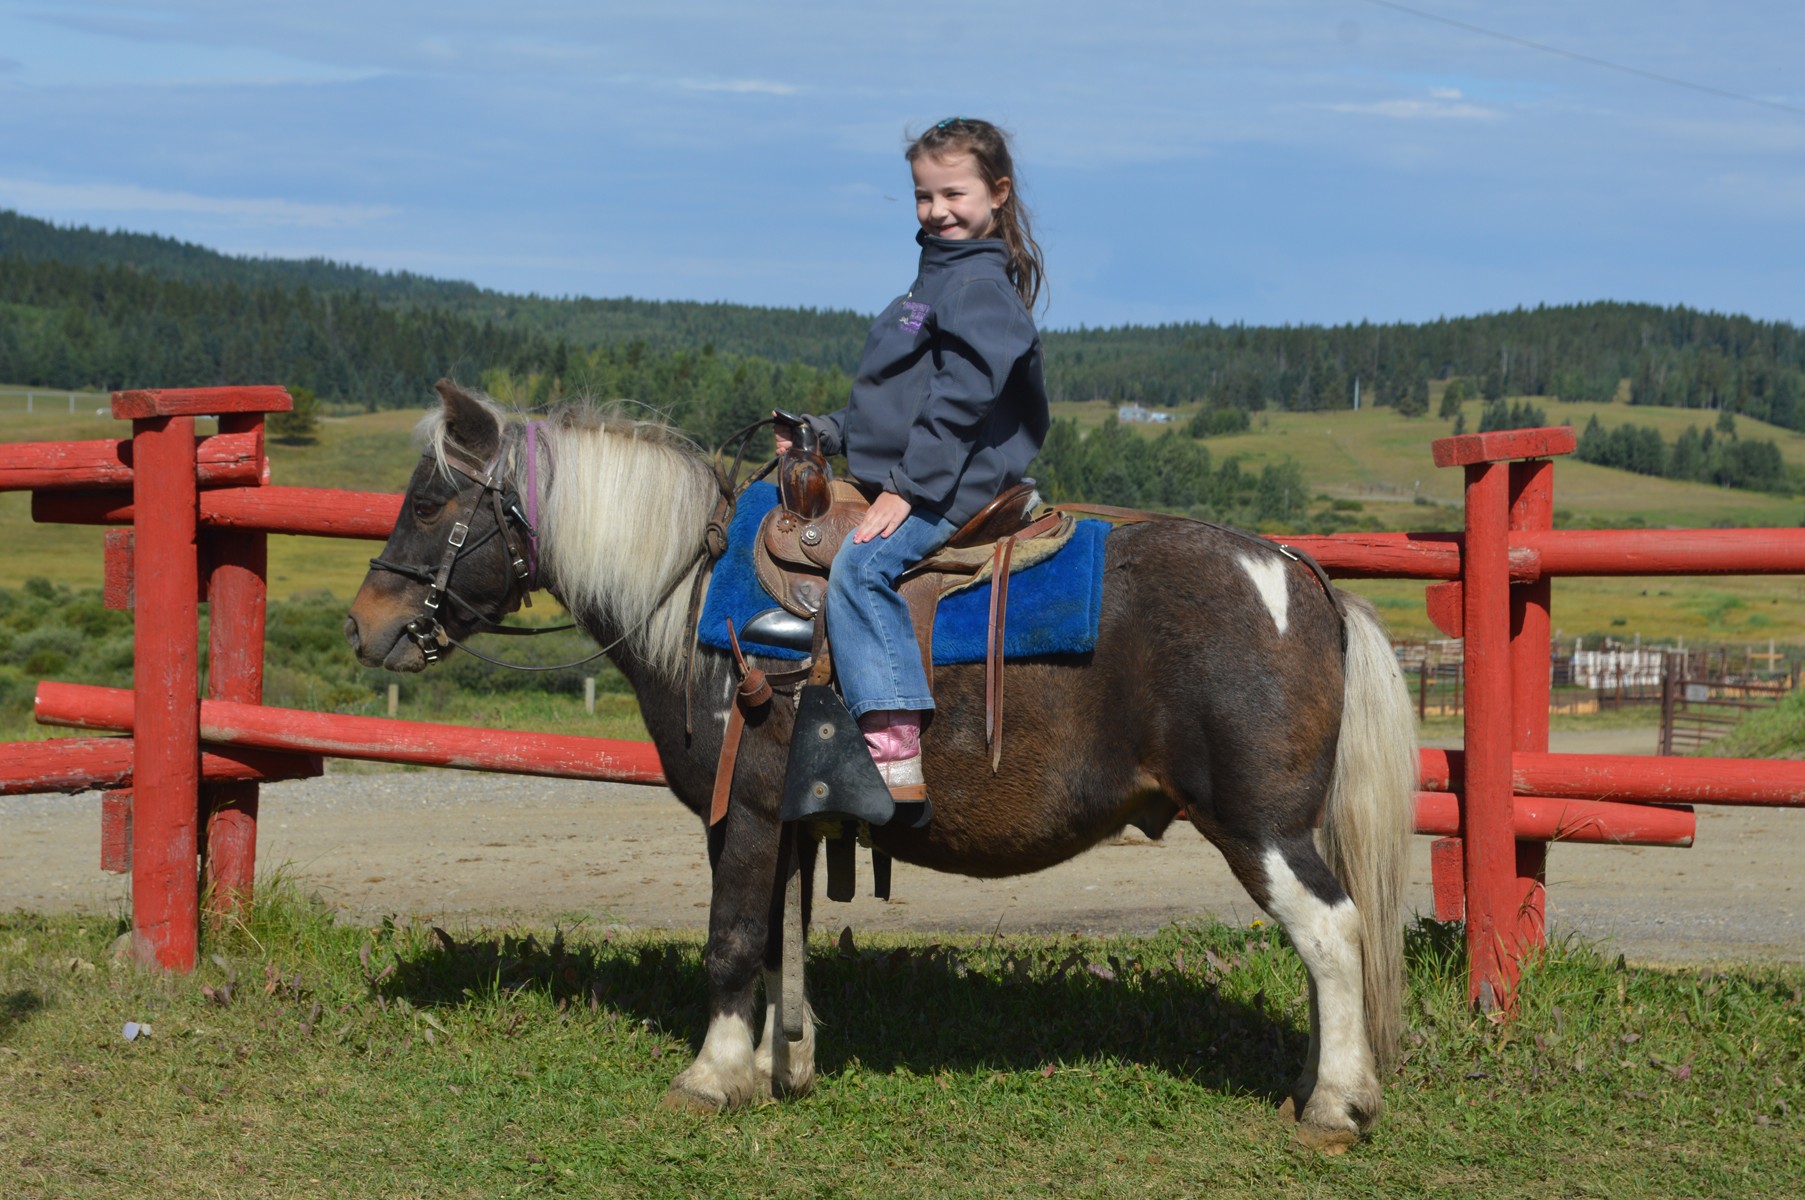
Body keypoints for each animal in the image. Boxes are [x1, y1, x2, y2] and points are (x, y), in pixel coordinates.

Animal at [344, 384, 1415, 1154]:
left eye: (431, 501)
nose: (366, 627)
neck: (696, 596)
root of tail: (1303, 581)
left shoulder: (744, 810)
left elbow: (733, 939)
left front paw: (710, 1076)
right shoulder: (787, 818)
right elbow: (780, 941)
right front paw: (778, 1063)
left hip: (1260, 827)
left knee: (1331, 932)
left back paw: (1334, 1105)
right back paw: (1323, 1087)